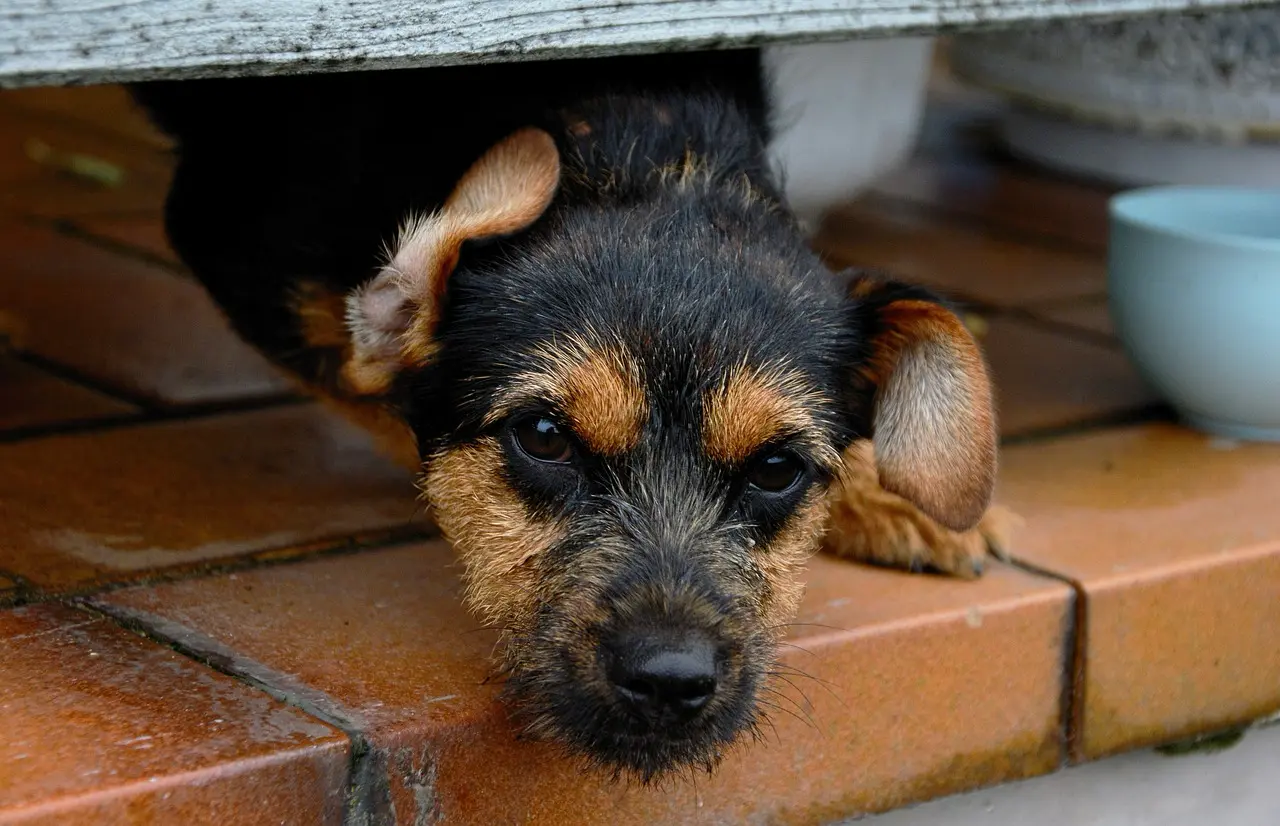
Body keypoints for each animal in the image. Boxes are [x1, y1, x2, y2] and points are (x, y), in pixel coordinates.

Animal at [127, 48, 1008, 783]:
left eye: (776, 468)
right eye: (545, 438)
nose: (670, 682)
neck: (647, 144)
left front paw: (897, 495)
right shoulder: (240, 246)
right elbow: (370, 373)